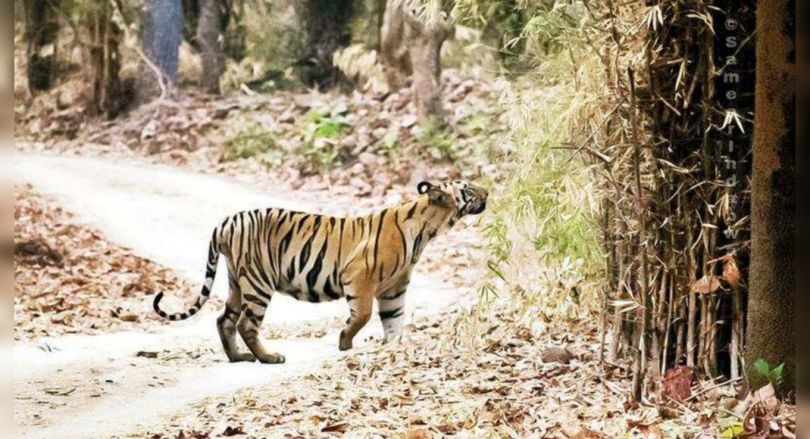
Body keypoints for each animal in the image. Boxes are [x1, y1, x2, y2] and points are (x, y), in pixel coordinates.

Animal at [153, 180, 488, 363]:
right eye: (467, 187)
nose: (488, 191)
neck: (428, 229)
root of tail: (226, 222)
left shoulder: (394, 288)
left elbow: (395, 321)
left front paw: (393, 349)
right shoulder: (359, 276)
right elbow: (362, 315)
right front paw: (345, 343)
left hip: (238, 281)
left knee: (225, 319)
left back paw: (238, 357)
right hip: (258, 282)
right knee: (247, 324)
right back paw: (268, 358)